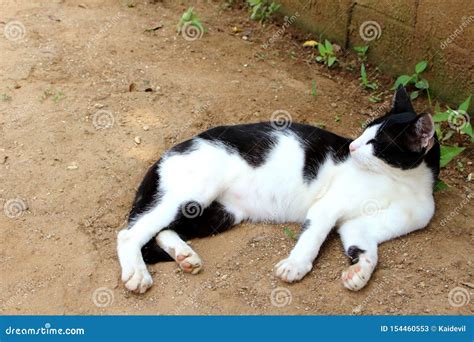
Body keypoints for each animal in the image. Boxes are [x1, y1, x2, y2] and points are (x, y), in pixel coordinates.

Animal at [117, 87, 440, 292]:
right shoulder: (327, 207)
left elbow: (368, 251)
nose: (351, 147)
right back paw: (137, 273)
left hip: (220, 215)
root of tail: (166, 153)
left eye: (374, 143)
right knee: (130, 233)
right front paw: (295, 266)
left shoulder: (359, 225)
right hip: (193, 193)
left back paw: (184, 255)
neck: (400, 183)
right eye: (363, 134)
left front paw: (358, 273)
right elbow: (312, 237)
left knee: (161, 231)